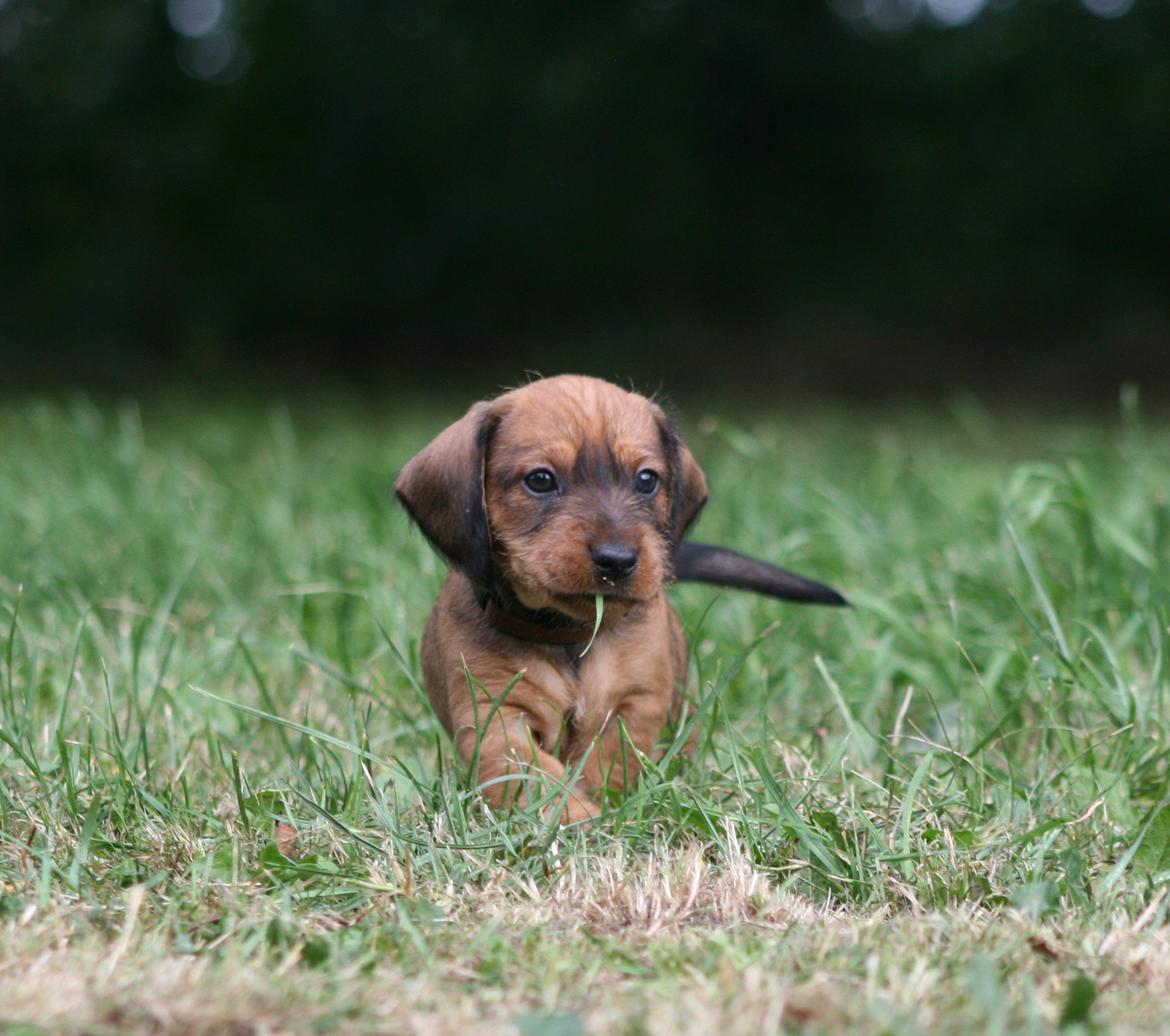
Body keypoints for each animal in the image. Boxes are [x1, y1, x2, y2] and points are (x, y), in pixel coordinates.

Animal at [397, 376, 847, 819]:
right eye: (540, 480)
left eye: (646, 480)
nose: (617, 561)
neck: (569, 636)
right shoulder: (495, 714)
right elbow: (536, 775)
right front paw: (573, 818)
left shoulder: (637, 702)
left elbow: (610, 761)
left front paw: (608, 807)